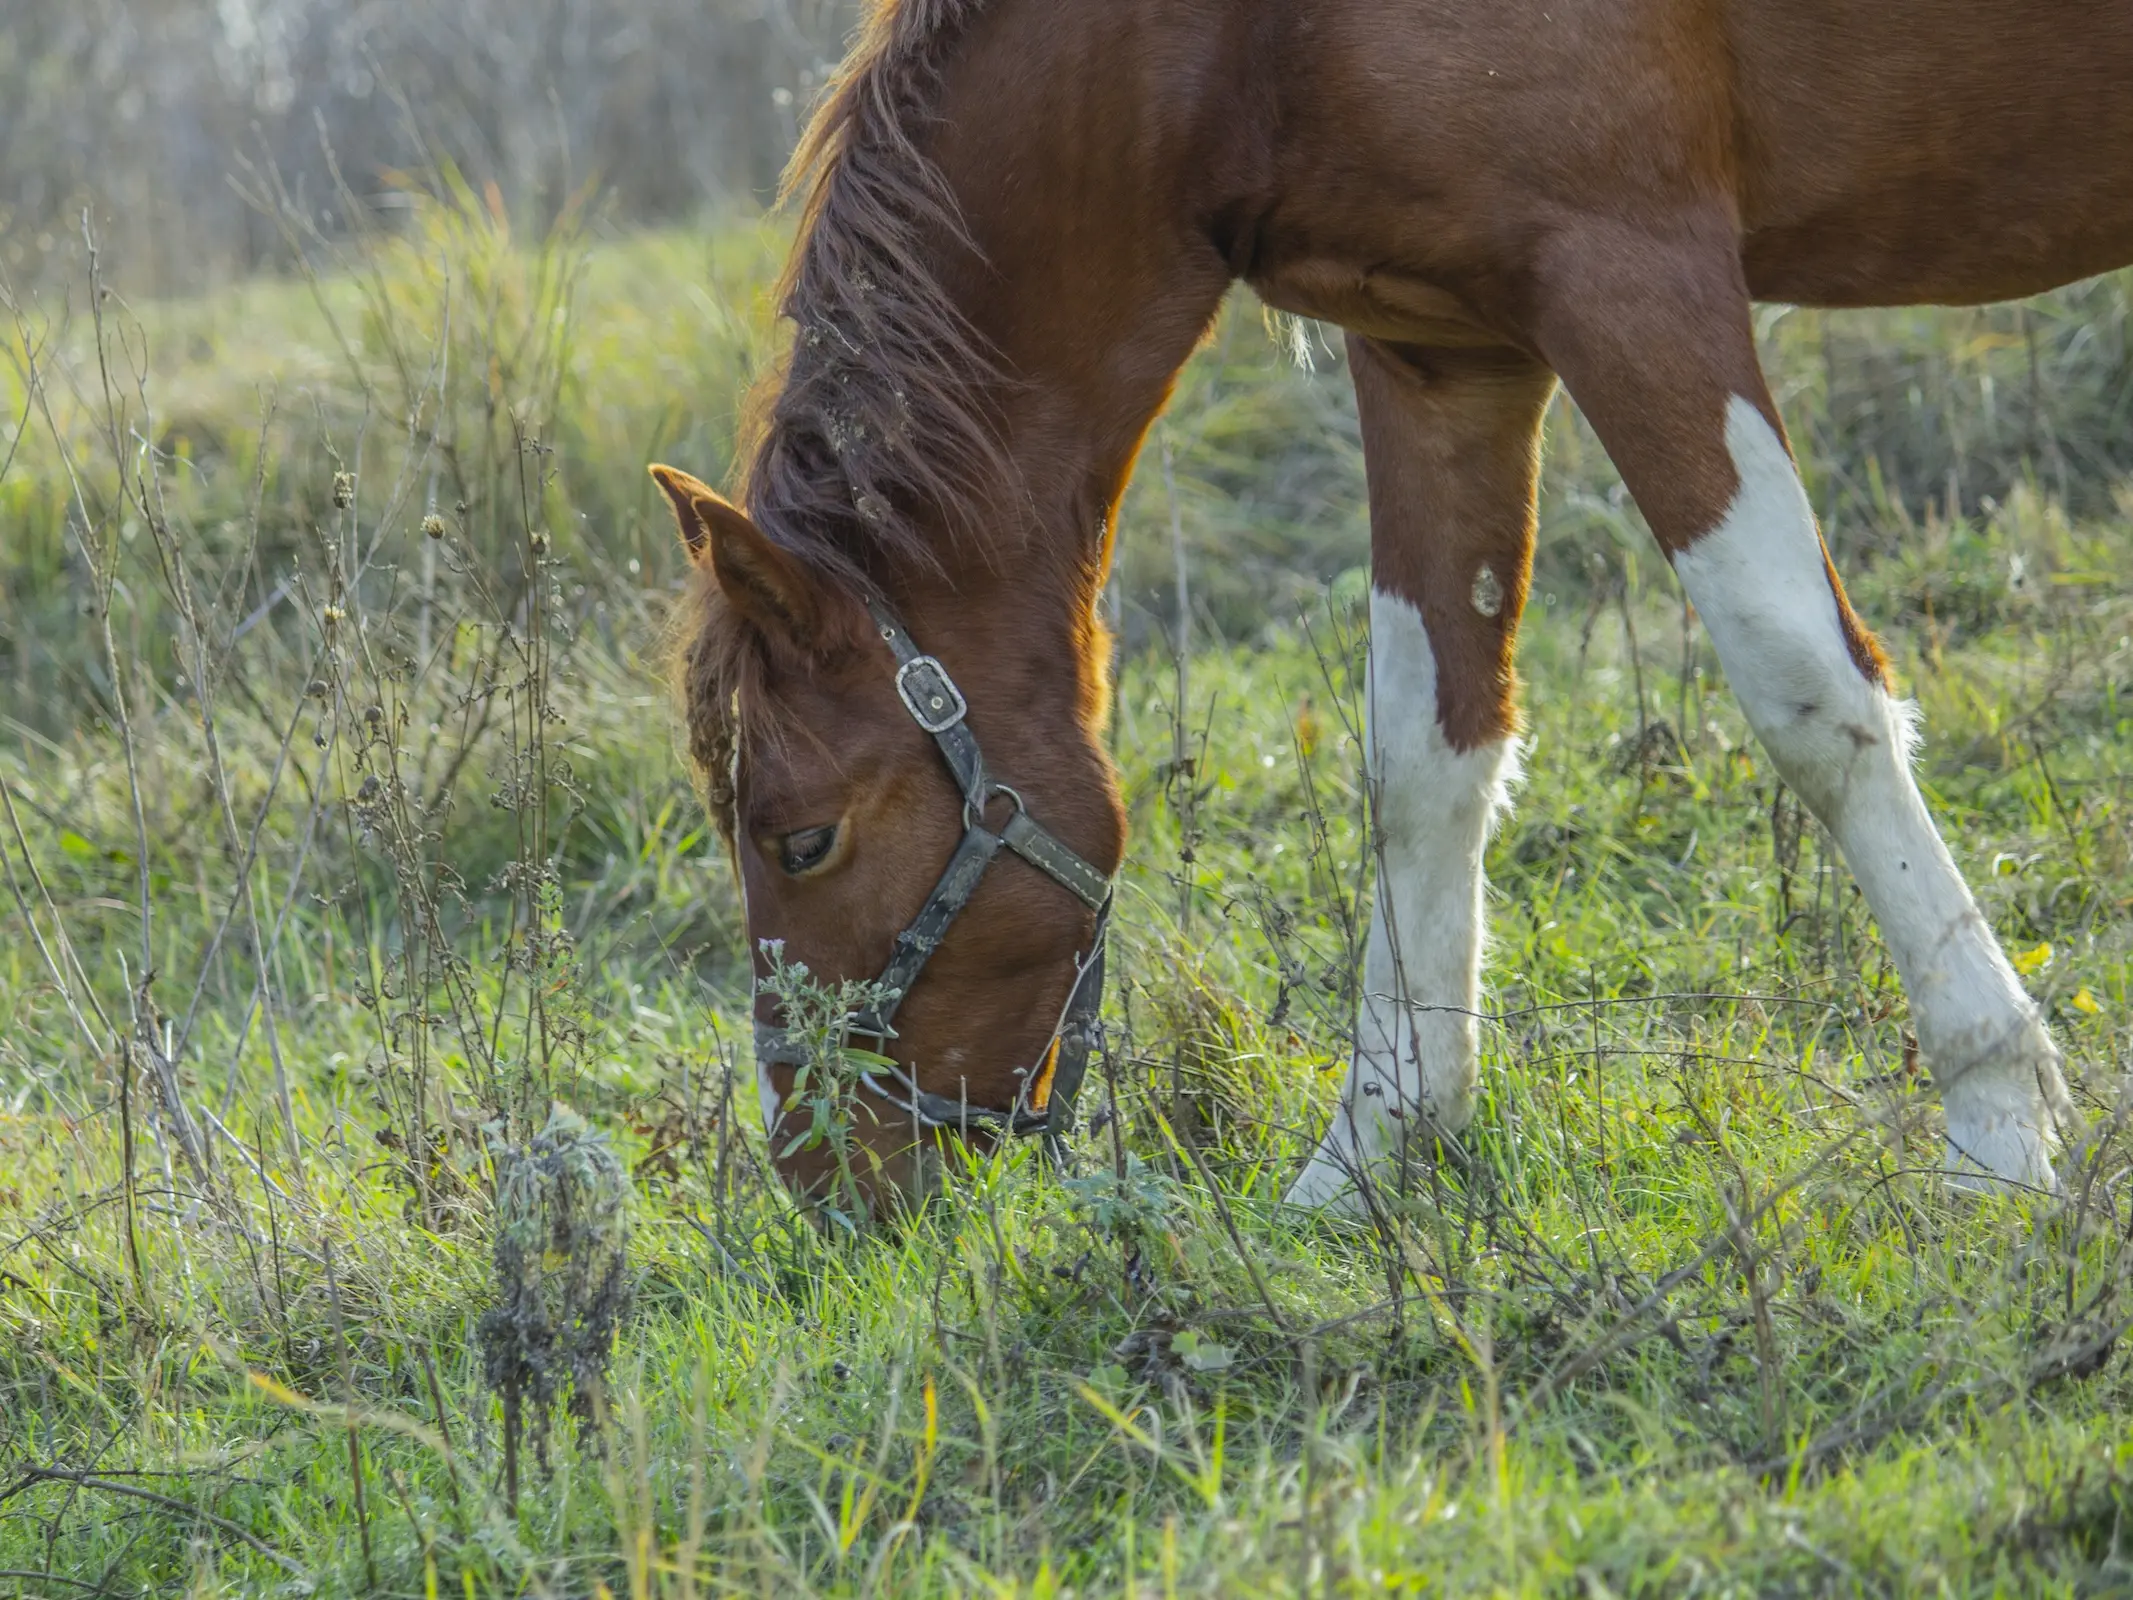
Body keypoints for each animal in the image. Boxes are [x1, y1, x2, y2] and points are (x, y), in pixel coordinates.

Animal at [656, 0, 2124, 1211]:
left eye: (801, 841)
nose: (827, 1181)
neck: (1238, 39)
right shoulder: (1441, 349)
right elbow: (1426, 756)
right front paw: (1375, 1150)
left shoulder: (1633, 274)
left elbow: (1806, 690)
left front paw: (1995, 1120)